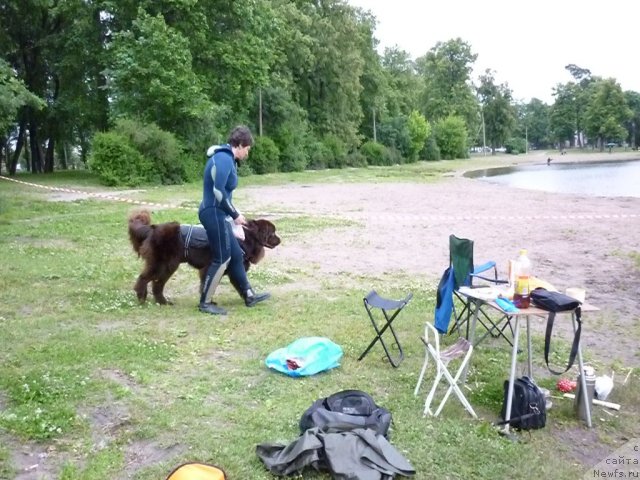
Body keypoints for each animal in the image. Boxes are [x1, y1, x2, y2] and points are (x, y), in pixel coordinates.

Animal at [127, 209, 280, 304]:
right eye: (273, 233)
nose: (280, 240)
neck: (247, 238)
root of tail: (153, 228)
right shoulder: (217, 267)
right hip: (162, 264)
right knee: (144, 278)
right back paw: (142, 297)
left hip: (168, 266)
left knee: (156, 284)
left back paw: (162, 302)